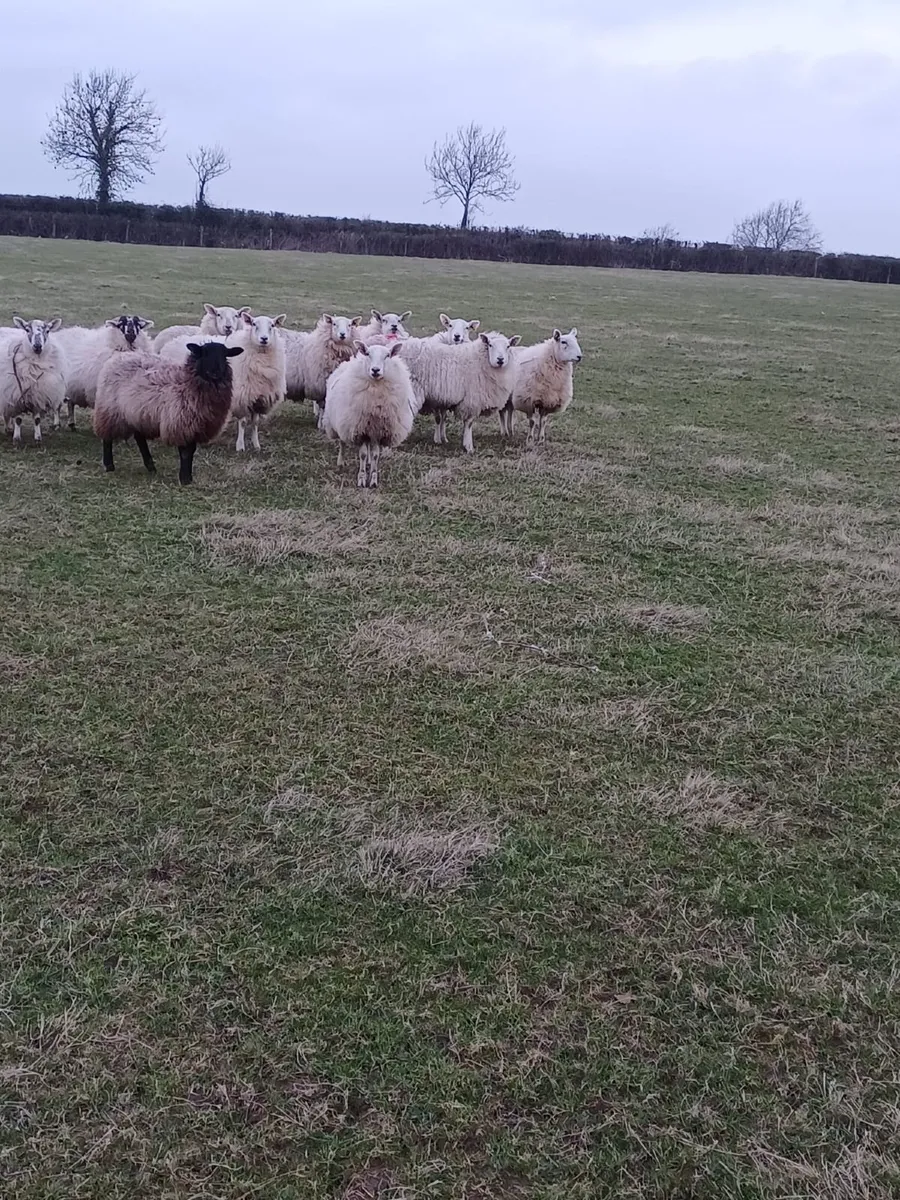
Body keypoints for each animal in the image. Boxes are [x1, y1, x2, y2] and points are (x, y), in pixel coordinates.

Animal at [94, 341, 244, 484]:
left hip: (138, 413)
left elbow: (192, 450)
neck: (187, 382)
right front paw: (185, 479)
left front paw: (188, 477)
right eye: (204, 353)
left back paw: (150, 467)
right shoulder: (181, 423)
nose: (216, 372)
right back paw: (109, 465)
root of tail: (118, 357)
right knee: (107, 437)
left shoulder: (195, 426)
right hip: (109, 409)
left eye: (225, 354)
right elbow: (186, 452)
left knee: (139, 438)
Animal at [160, 311, 287, 452]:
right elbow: (243, 423)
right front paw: (240, 446)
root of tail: (173, 341)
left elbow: (255, 423)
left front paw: (256, 445)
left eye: (273, 325)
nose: (264, 339)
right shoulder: (241, 398)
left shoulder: (258, 398)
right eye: (254, 324)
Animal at [323, 340, 416, 487]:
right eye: (367, 353)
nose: (375, 370)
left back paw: (368, 463)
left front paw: (373, 479)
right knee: (342, 443)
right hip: (340, 422)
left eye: (387, 355)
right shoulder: (359, 430)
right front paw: (361, 479)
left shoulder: (378, 431)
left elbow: (375, 455)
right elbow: (362, 454)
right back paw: (341, 462)